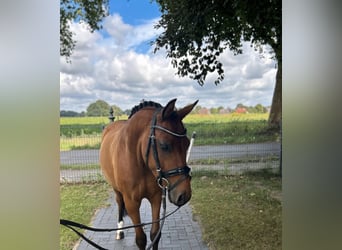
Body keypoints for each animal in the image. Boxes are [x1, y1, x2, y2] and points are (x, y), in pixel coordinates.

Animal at [99, 98, 198, 249]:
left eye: (187, 143)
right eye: (164, 145)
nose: (184, 195)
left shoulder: (156, 198)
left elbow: (155, 234)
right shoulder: (132, 204)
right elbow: (141, 239)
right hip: (116, 189)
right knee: (119, 203)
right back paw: (120, 231)